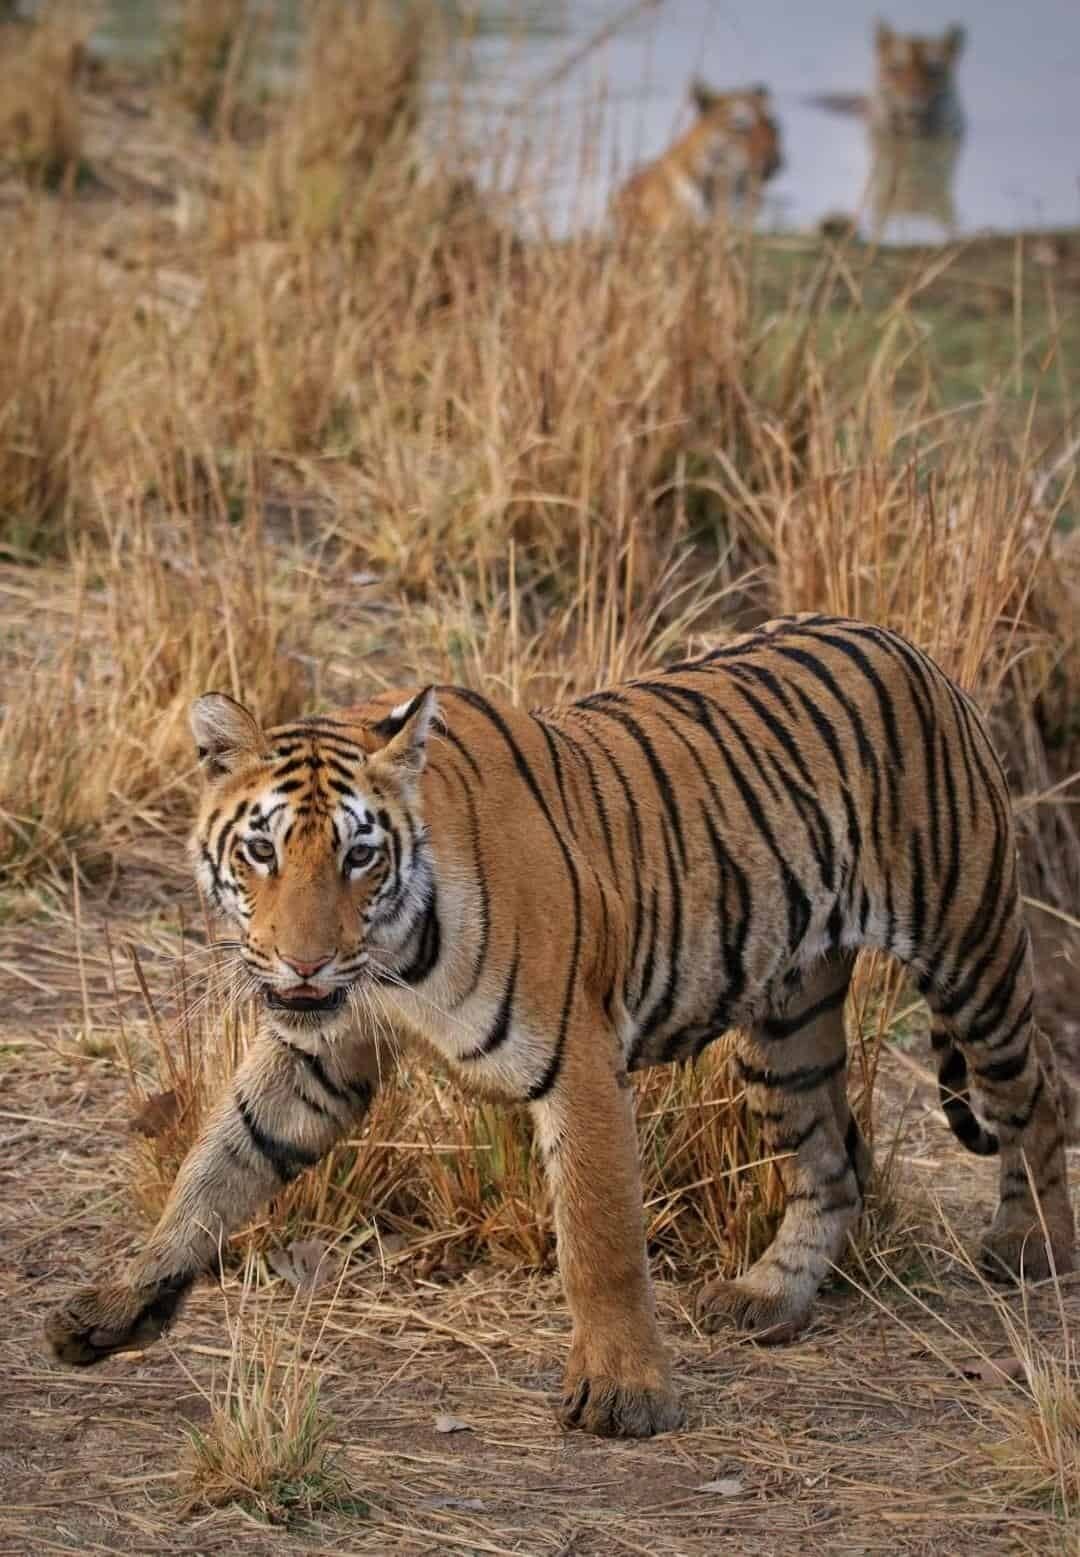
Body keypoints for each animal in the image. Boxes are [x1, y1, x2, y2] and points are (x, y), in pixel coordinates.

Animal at [46, 614, 1074, 1440]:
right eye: (261, 849)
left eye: (359, 856)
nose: (301, 962)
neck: (393, 957)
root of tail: (907, 645)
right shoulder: (319, 1049)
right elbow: (215, 1166)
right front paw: (117, 1305)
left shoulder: (576, 1060)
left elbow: (599, 1238)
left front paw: (625, 1394)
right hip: (787, 1027)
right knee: (830, 1164)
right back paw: (766, 1297)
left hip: (971, 948)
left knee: (1034, 1096)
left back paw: (1033, 1245)